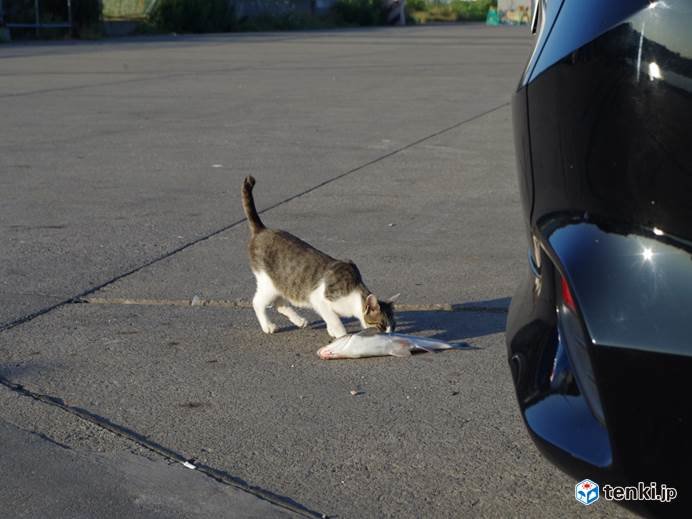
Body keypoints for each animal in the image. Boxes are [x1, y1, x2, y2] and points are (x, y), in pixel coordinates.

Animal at [242, 177, 394, 340]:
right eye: (381, 325)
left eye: (393, 327)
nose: (390, 335)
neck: (353, 295)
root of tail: (262, 230)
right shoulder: (319, 299)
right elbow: (334, 320)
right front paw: (341, 335)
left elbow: (330, 319)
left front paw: (331, 330)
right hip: (268, 284)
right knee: (257, 302)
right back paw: (268, 326)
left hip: (281, 285)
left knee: (280, 304)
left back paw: (299, 320)